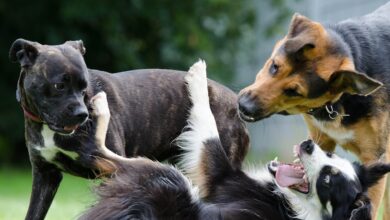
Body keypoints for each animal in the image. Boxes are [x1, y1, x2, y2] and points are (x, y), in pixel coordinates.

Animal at [9, 39, 250, 220]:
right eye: (59, 85)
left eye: (84, 87)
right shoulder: (44, 176)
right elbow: (34, 213)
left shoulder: (112, 172)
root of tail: (235, 102)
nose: (82, 114)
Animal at [79, 60, 390, 220]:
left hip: (171, 180)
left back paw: (100, 108)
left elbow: (207, 129)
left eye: (326, 180)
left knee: (102, 152)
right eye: (332, 156)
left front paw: (198, 76)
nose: (308, 145)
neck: (297, 208)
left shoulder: (220, 176)